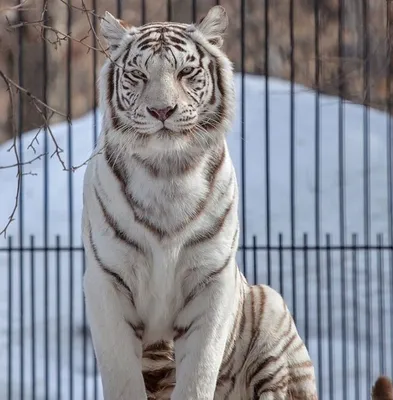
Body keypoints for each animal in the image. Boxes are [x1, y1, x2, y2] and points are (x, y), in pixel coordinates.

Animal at [81, 6, 388, 400]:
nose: (162, 111)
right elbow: (122, 377)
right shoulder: (107, 282)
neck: (167, 174)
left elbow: (198, 375)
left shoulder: (212, 281)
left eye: (185, 72)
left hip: (272, 312)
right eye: (138, 74)